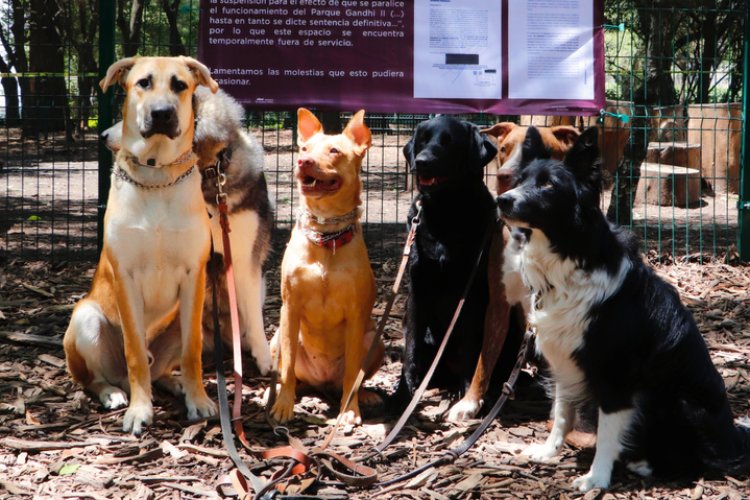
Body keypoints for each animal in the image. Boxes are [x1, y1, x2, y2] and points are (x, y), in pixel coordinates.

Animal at [65, 56, 219, 436]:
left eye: (180, 85)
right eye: (143, 83)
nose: (162, 113)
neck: (157, 176)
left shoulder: (194, 276)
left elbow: (192, 352)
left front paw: (198, 399)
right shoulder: (126, 277)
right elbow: (134, 352)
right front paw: (140, 410)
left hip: (186, 317)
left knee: (162, 367)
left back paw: (175, 384)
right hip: (86, 318)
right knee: (94, 379)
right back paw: (113, 394)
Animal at [270, 107, 384, 424]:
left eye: (334, 150)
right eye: (304, 149)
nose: (303, 162)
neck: (325, 235)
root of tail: (321, 382)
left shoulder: (357, 316)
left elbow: (353, 373)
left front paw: (350, 409)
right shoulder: (289, 308)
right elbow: (287, 368)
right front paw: (283, 405)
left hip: (375, 339)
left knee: (356, 376)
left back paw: (365, 396)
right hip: (277, 336)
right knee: (290, 371)